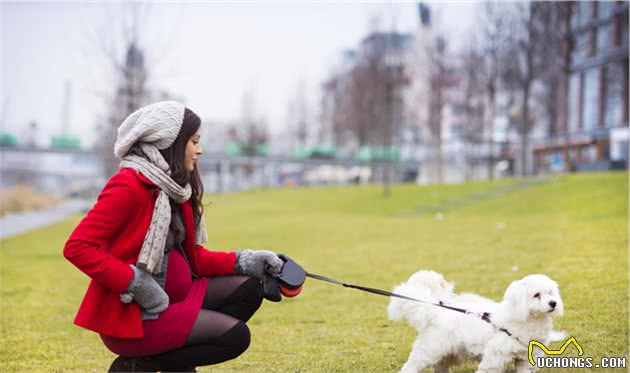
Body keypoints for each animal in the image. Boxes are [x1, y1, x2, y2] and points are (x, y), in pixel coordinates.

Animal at [388, 270, 564, 372]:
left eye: (551, 293)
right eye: (536, 295)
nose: (553, 303)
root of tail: (438, 309)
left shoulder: (526, 361)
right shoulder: (494, 358)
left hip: (450, 351)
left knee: (440, 365)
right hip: (429, 349)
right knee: (412, 365)